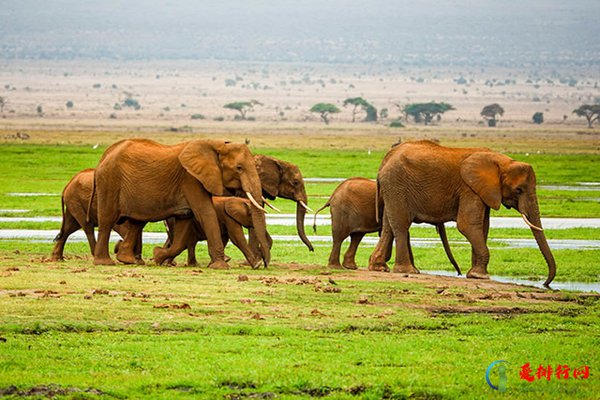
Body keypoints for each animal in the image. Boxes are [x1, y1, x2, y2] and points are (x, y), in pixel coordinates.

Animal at [91, 138, 270, 268]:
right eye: (239, 168)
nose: (265, 263)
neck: (216, 145)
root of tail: (104, 155)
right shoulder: (191, 178)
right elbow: (205, 212)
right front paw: (220, 266)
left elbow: (185, 223)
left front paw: (158, 256)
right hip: (109, 180)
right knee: (107, 220)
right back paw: (104, 262)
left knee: (137, 222)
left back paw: (127, 260)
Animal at [312, 178, 462, 276]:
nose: (459, 274)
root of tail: (332, 196)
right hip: (342, 211)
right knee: (340, 237)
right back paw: (337, 267)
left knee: (356, 236)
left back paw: (351, 267)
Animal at [368, 141, 556, 288]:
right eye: (519, 190)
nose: (546, 283)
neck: (503, 161)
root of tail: (385, 159)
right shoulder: (469, 188)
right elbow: (467, 225)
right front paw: (480, 276)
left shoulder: (482, 191)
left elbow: (483, 227)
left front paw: (474, 274)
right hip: (397, 185)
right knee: (401, 225)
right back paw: (408, 271)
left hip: (392, 188)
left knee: (389, 225)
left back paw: (379, 267)